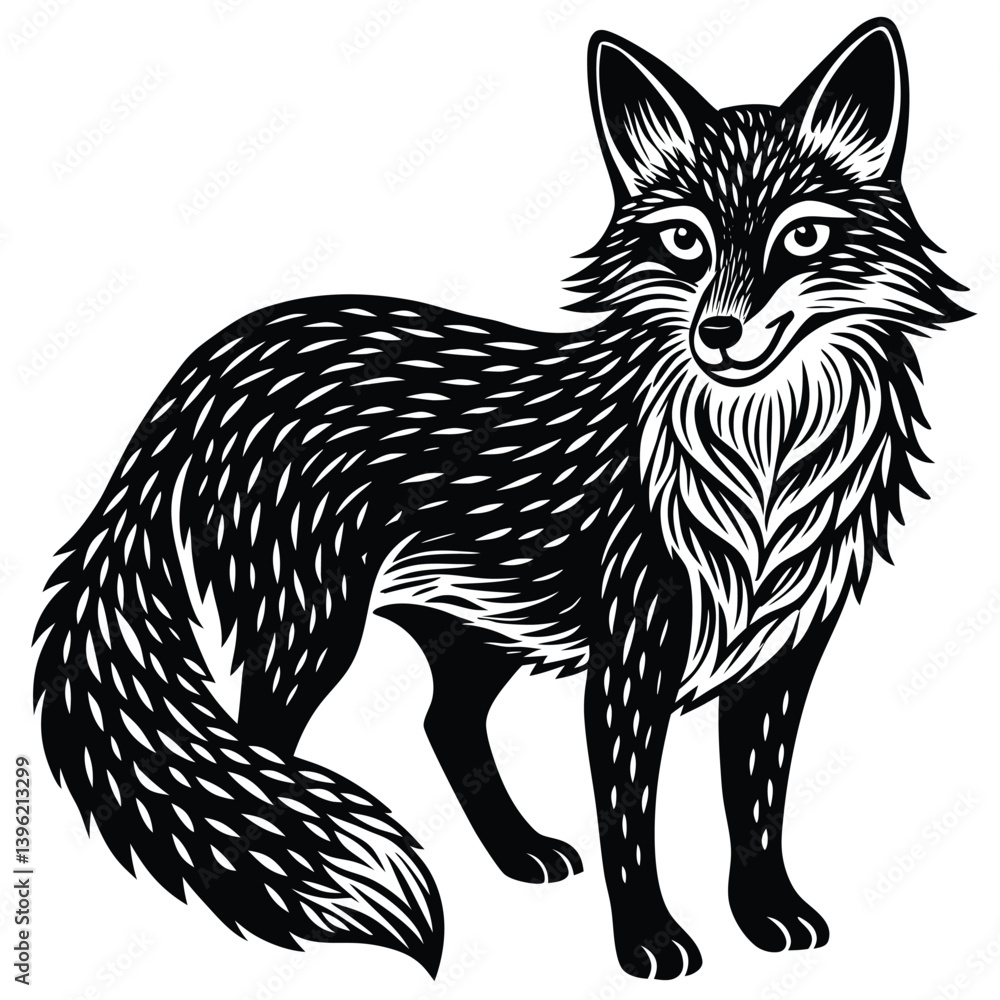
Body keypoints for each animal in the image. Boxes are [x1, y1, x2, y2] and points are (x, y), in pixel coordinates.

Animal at [33, 18, 968, 981]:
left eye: (804, 237)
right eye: (685, 241)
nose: (719, 332)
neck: (758, 466)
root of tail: (203, 366)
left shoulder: (781, 657)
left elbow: (756, 811)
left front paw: (766, 914)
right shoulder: (631, 659)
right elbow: (631, 820)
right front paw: (647, 940)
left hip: (477, 629)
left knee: (443, 724)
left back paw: (518, 852)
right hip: (314, 629)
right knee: (262, 747)